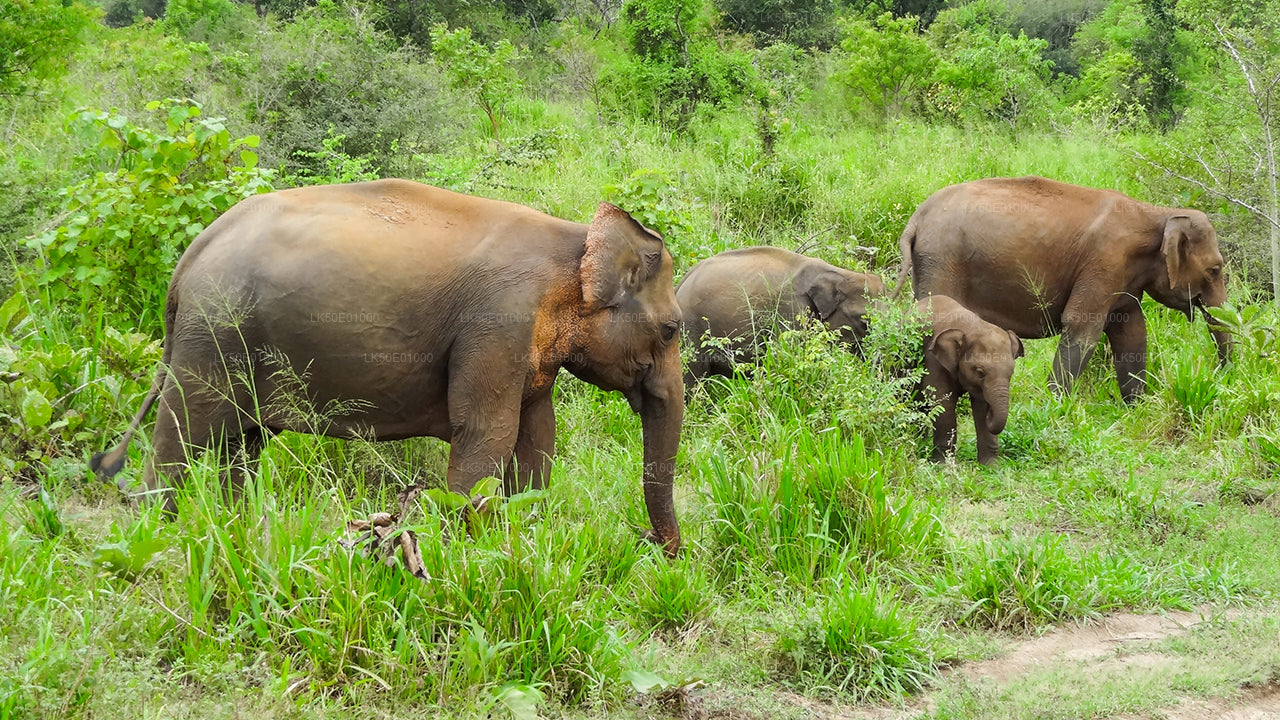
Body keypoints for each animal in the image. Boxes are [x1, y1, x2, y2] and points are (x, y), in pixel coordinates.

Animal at [90, 179, 685, 556]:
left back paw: (239, 528)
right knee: (183, 435)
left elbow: (538, 438)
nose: (658, 548)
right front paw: (467, 555)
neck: (575, 240)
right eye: (672, 329)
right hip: (212, 336)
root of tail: (191, 254)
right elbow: (486, 434)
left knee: (242, 443)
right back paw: (161, 537)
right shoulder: (498, 324)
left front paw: (524, 538)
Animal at [895, 176, 1230, 403]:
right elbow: (1082, 327)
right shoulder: (1105, 261)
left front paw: (1136, 407)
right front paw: (1054, 406)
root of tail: (915, 220)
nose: (1221, 376)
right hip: (942, 262)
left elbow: (1132, 331)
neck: (1158, 214)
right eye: (1215, 270)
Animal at [917, 294, 1024, 466]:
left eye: (1011, 373)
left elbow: (981, 406)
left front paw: (991, 466)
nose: (990, 415)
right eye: (980, 372)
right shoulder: (932, 359)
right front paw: (943, 465)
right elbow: (942, 402)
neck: (972, 326)